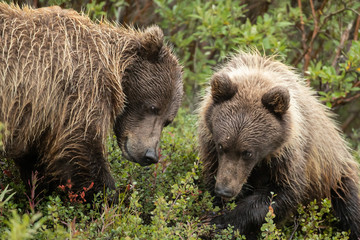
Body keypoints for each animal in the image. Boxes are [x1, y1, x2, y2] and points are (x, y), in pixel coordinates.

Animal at [0, 4, 183, 197]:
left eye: (168, 121)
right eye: (153, 107)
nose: (150, 155)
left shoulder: (36, 118)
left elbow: (37, 162)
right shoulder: (78, 93)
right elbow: (80, 150)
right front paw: (110, 196)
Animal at [200, 51, 360, 239]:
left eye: (248, 152)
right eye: (221, 146)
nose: (224, 190)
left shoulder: (289, 154)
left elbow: (283, 192)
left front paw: (223, 222)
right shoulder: (210, 143)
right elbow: (212, 175)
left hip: (335, 177)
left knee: (350, 205)